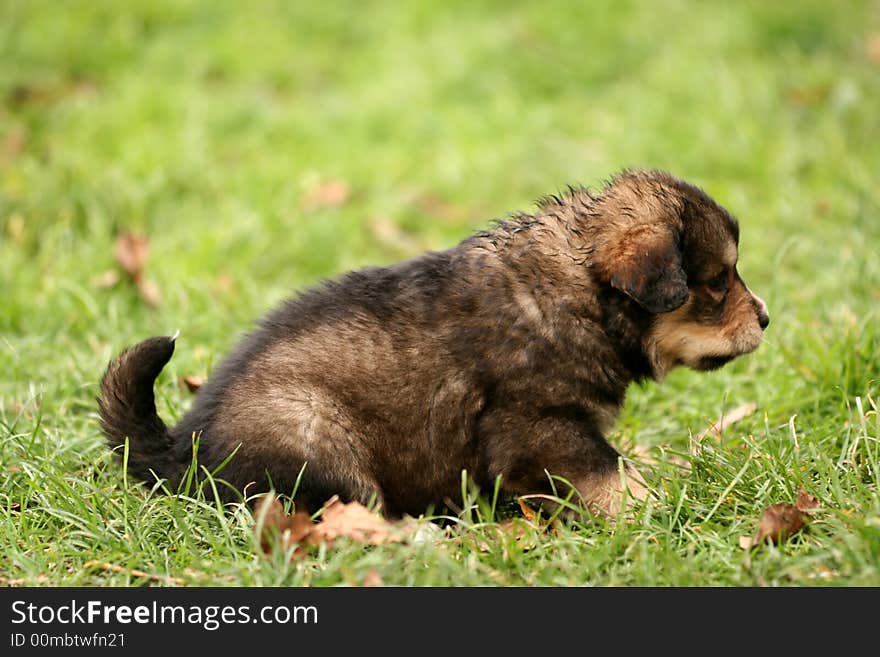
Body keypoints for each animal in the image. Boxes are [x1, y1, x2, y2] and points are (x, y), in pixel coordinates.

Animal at [98, 169, 768, 516]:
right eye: (716, 282)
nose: (765, 319)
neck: (580, 295)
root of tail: (185, 448)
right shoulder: (539, 425)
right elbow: (607, 473)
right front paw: (656, 508)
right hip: (313, 434)